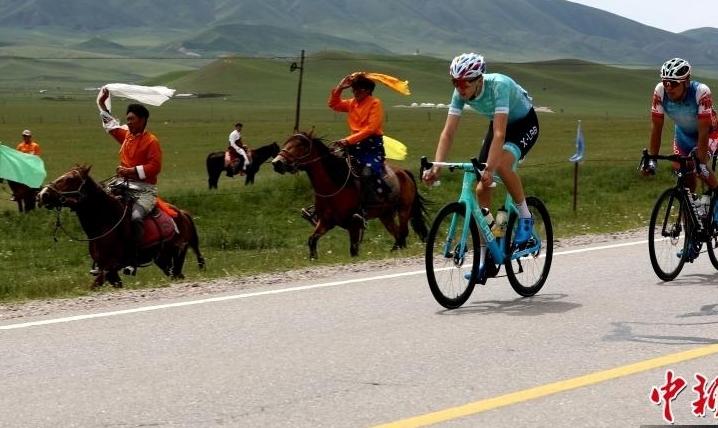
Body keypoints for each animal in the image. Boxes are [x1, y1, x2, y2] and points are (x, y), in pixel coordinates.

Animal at [38, 166, 204, 290]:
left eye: (69, 179)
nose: (42, 194)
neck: (105, 221)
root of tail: (182, 213)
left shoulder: (110, 267)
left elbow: (94, 286)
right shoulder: (108, 271)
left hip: (177, 254)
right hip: (163, 260)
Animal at [270, 131, 428, 258]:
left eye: (300, 145)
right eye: (286, 142)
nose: (277, 163)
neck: (333, 185)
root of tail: (404, 172)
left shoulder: (354, 224)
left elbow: (353, 250)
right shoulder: (326, 222)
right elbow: (312, 240)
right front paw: (313, 257)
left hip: (404, 210)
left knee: (403, 233)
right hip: (385, 215)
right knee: (398, 235)